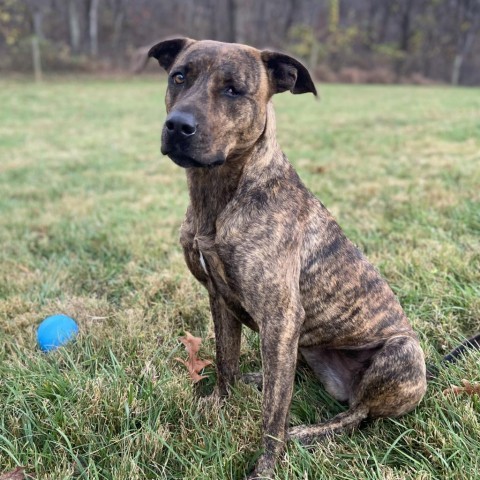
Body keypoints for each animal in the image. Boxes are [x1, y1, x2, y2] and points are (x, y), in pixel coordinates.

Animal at [148, 38, 478, 480]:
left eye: (234, 90)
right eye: (179, 76)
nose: (178, 126)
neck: (219, 195)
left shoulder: (280, 316)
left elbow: (273, 416)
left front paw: (266, 466)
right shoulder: (220, 300)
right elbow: (225, 361)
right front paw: (219, 405)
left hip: (400, 353)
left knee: (357, 413)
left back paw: (308, 432)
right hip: (305, 344)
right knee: (294, 376)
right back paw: (261, 378)